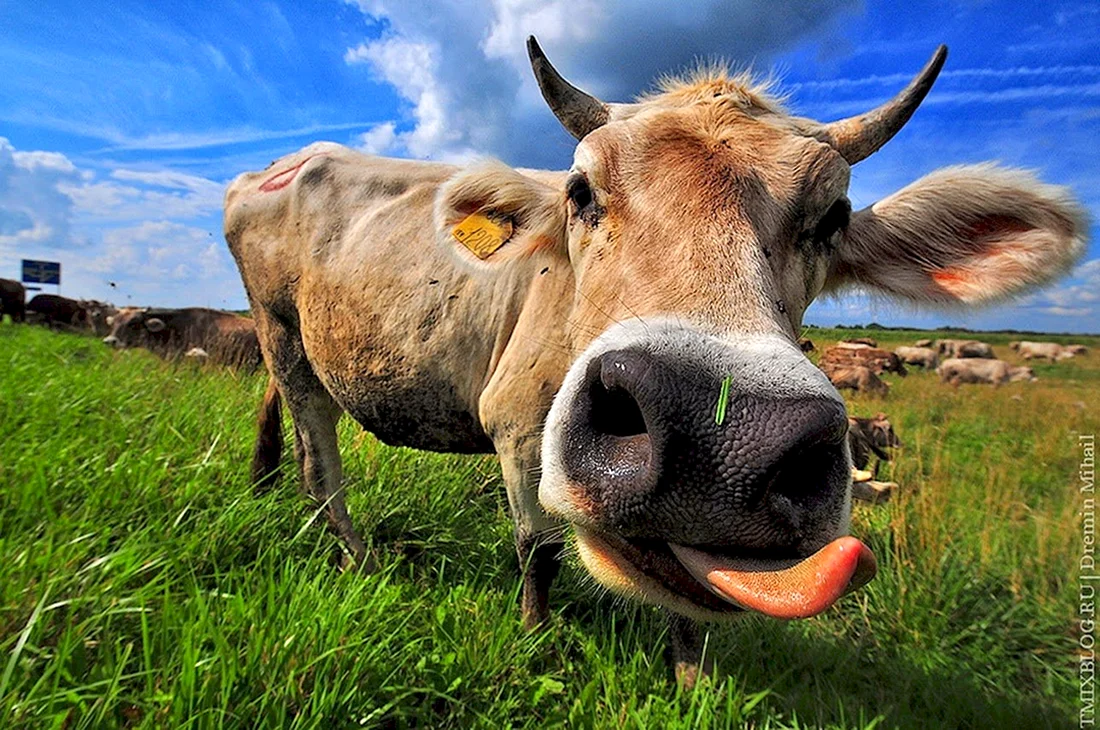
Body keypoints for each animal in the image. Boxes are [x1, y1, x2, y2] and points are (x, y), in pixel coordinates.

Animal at [224, 37, 1086, 683]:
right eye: (579, 190)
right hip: (284, 335)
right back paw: (354, 555)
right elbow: (539, 551)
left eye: (833, 216)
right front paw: (538, 643)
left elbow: (688, 589)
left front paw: (691, 681)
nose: (721, 436)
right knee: (319, 458)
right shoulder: (515, 427)